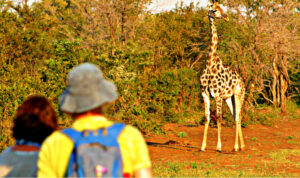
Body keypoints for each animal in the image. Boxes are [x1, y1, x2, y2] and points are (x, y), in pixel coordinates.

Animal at [199, 0, 246, 152]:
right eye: (214, 10)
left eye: (221, 7)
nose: (226, 17)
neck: (210, 65)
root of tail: (242, 80)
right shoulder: (205, 94)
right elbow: (207, 118)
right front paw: (202, 146)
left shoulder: (217, 95)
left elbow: (219, 118)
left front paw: (219, 147)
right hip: (229, 98)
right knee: (235, 116)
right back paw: (241, 146)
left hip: (238, 95)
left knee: (238, 117)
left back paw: (236, 147)